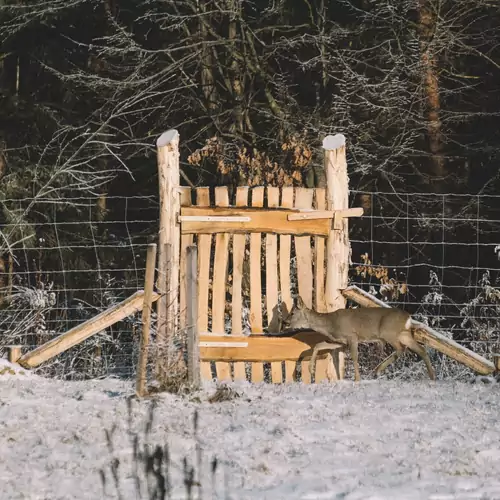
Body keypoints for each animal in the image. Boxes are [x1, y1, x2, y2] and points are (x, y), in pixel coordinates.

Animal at [284, 296, 436, 382]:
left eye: (292, 313)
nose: (285, 322)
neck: (330, 324)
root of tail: (408, 317)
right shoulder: (340, 341)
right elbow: (319, 345)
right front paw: (311, 370)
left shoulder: (352, 336)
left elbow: (354, 356)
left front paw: (357, 379)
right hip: (404, 334)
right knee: (421, 349)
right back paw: (432, 377)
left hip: (389, 332)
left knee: (401, 349)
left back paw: (377, 370)